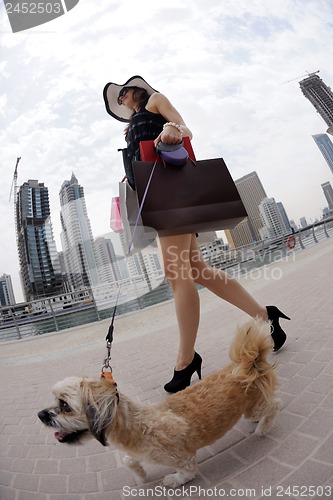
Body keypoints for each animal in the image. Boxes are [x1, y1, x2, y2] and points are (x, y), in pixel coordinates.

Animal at [37, 318, 278, 486]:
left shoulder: (183, 458)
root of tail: (247, 365)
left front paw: (173, 480)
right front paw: (140, 474)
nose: (41, 415)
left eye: (65, 406)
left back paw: (263, 428)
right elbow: (129, 460)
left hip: (254, 408)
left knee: (274, 405)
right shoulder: (135, 452)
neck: (136, 425)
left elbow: (187, 472)